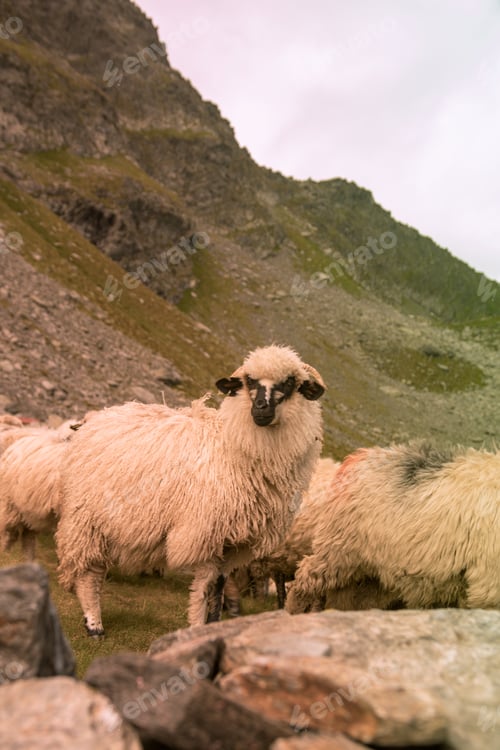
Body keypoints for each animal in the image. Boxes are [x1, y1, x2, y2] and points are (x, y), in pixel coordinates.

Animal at [56, 345, 325, 636]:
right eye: (249, 381)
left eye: (289, 383)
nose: (260, 409)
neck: (233, 449)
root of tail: (98, 416)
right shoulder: (206, 533)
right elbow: (206, 589)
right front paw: (199, 626)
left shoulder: (232, 544)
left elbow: (220, 586)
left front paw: (214, 625)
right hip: (86, 518)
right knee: (88, 573)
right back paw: (94, 625)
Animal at [286, 441, 500, 614]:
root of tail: (359, 457)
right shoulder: (485, 591)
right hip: (339, 550)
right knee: (306, 578)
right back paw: (293, 611)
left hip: (374, 571)